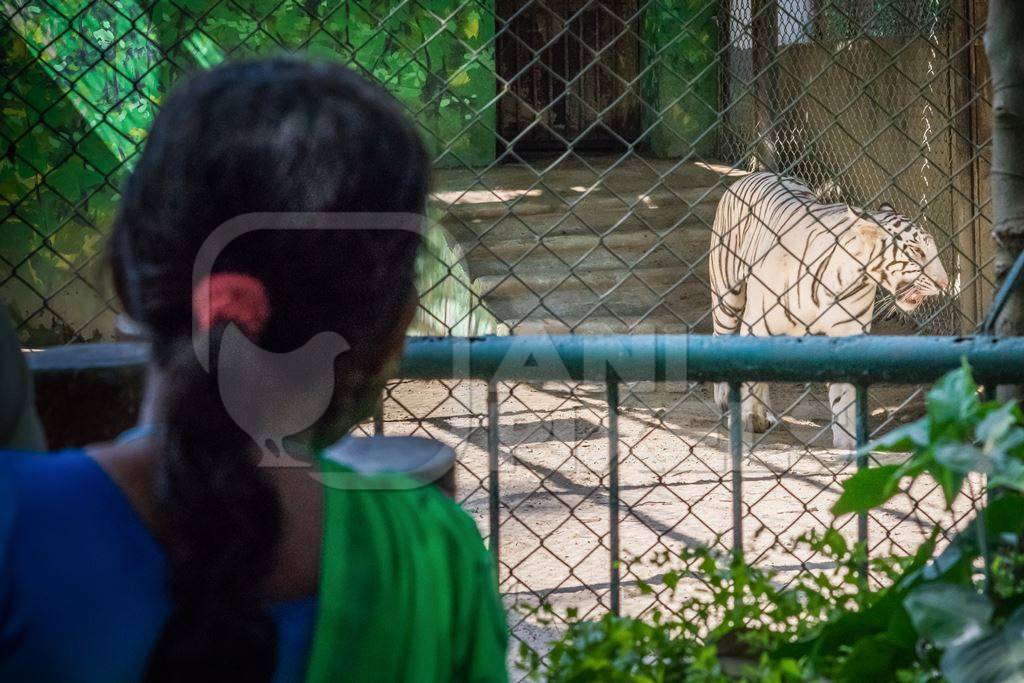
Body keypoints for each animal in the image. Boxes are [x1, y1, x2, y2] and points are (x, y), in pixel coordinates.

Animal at [708, 172, 946, 448]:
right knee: (721, 337)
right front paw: (748, 418)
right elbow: (748, 378)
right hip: (727, 296)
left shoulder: (847, 336)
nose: (945, 283)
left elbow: (845, 395)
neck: (850, 279)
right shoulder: (756, 325)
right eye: (917, 251)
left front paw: (848, 439)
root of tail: (754, 174)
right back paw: (726, 402)